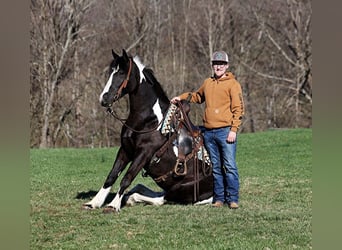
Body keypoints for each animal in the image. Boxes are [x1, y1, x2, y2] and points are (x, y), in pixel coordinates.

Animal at [82, 49, 212, 213]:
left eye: (122, 73)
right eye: (111, 72)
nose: (104, 99)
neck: (150, 121)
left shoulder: (144, 153)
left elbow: (127, 178)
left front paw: (113, 205)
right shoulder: (126, 150)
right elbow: (111, 176)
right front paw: (94, 202)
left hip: (179, 189)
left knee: (161, 199)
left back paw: (131, 198)